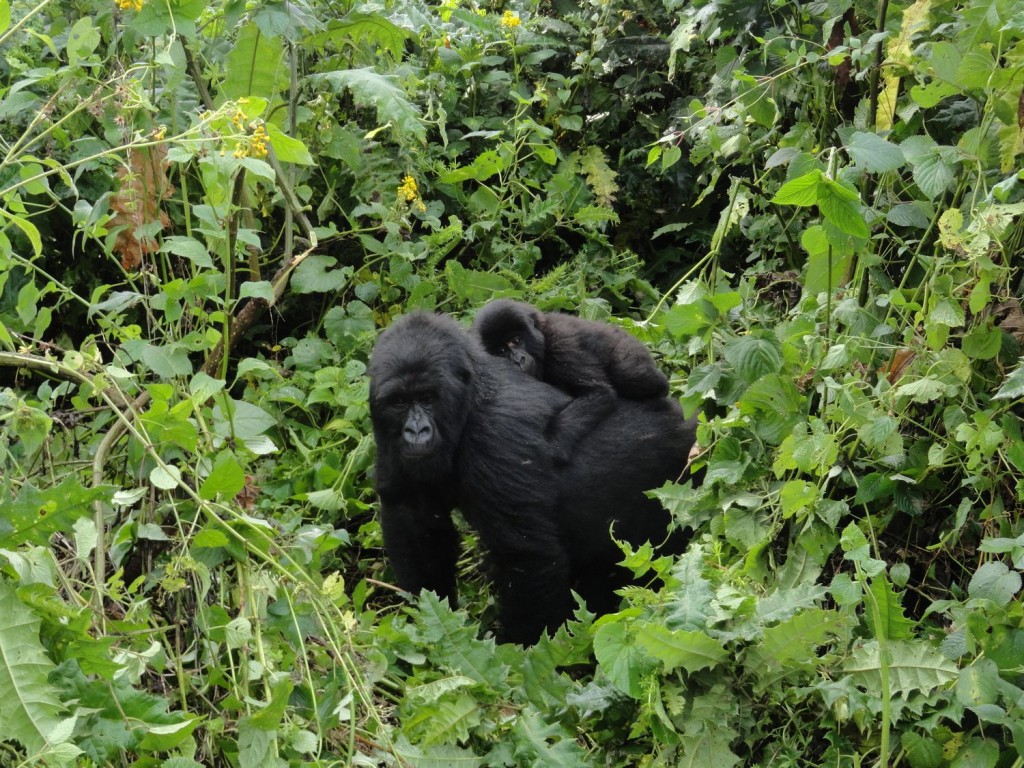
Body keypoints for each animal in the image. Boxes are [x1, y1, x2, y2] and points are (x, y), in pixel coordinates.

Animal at [473, 296, 667, 460]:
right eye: (501, 351)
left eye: (517, 340)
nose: (517, 360)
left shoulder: (562, 345)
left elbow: (598, 391)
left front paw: (555, 443)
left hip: (628, 350)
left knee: (634, 376)